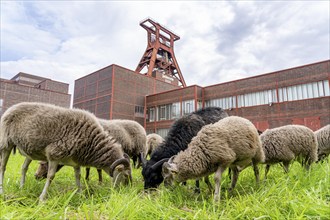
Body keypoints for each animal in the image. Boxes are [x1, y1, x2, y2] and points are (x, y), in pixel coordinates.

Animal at [0, 101, 131, 201]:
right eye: (125, 175)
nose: (125, 192)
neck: (91, 142)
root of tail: (12, 107)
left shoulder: (75, 162)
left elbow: (78, 176)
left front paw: (80, 194)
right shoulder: (54, 154)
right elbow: (50, 176)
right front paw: (42, 198)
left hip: (28, 151)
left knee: (23, 168)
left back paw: (22, 187)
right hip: (6, 143)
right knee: (3, 167)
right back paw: (2, 191)